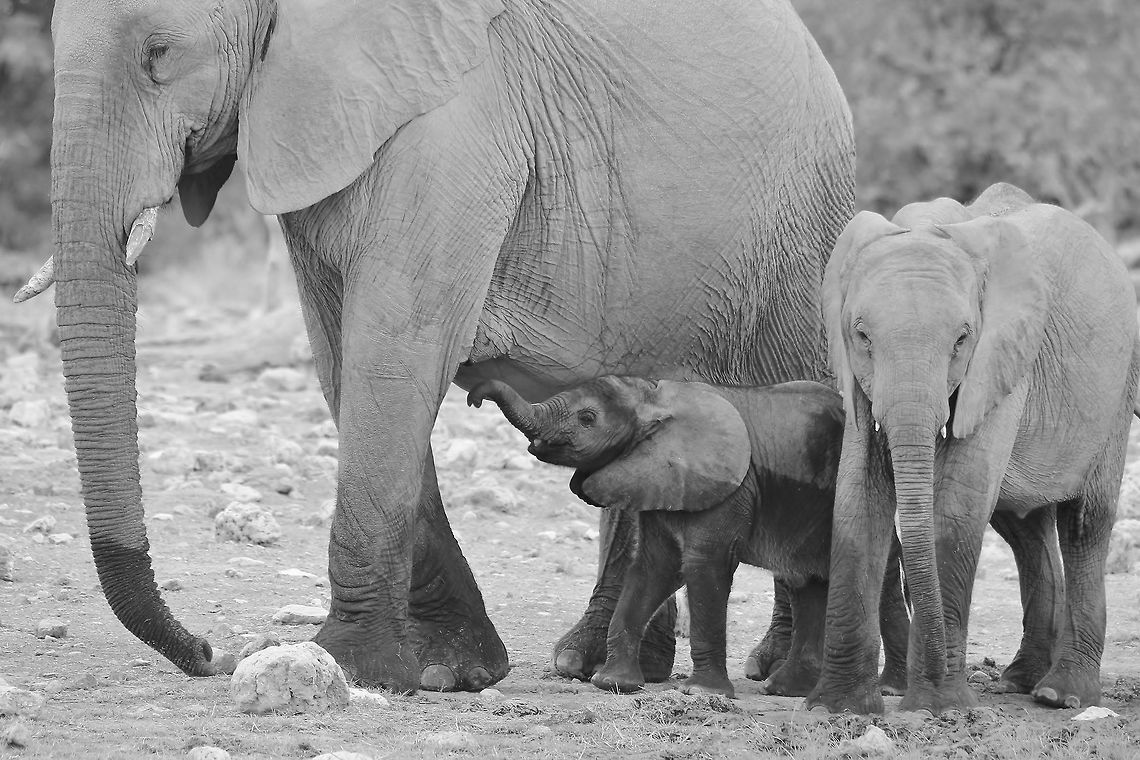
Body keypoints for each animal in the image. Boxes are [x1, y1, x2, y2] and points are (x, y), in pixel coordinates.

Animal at [38, 0, 855, 693]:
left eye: (159, 55)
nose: (209, 653)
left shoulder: (458, 123)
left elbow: (395, 349)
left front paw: (349, 667)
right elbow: (343, 361)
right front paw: (450, 671)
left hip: (801, 231)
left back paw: (773, 671)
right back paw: (599, 668)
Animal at [467, 376, 911, 698]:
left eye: (587, 418)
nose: (474, 398)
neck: (652, 400)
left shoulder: (730, 489)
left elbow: (704, 566)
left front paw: (702, 694)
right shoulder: (658, 480)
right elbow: (653, 567)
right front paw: (613, 684)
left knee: (880, 581)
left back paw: (888, 690)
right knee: (806, 584)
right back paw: (784, 689)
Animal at [807, 182, 1140, 714]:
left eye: (962, 339)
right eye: (861, 335)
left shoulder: (1002, 357)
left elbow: (958, 503)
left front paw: (939, 708)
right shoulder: (855, 376)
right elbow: (857, 496)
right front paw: (836, 707)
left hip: (1117, 388)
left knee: (1085, 522)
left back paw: (1061, 695)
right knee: (1024, 528)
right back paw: (1020, 682)